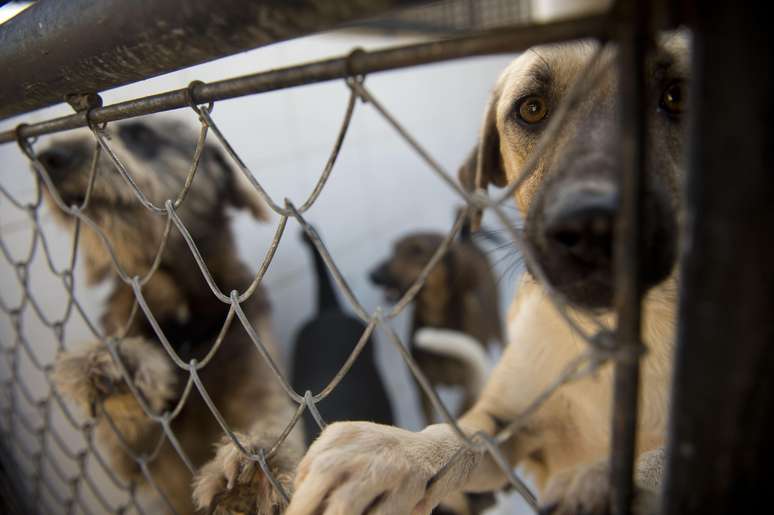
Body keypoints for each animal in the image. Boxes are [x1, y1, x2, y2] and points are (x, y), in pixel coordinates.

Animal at [38, 119, 304, 512]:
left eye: (140, 133)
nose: (48, 158)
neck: (183, 319)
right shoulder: (136, 460)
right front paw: (115, 366)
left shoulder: (262, 384)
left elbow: (275, 423)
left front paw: (255, 470)